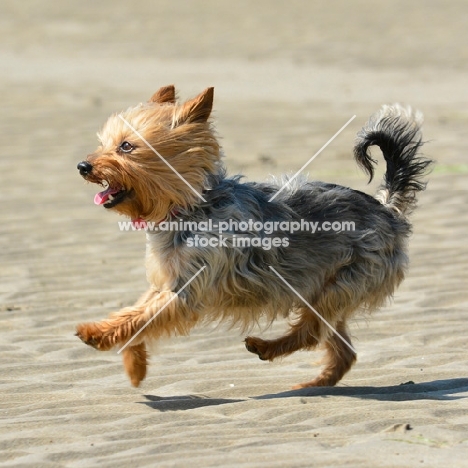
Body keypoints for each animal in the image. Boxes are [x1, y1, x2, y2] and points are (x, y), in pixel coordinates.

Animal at [74, 86, 432, 390]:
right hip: (325, 289)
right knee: (340, 347)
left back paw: (265, 347)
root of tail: (388, 210)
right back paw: (314, 384)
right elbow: (134, 314)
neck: (190, 207)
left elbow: (142, 318)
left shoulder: (187, 289)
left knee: (311, 332)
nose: (82, 166)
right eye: (105, 143)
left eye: (126, 147)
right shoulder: (166, 282)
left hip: (340, 284)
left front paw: (96, 334)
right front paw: (134, 365)